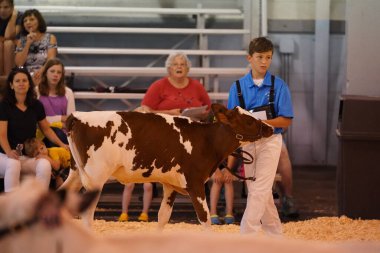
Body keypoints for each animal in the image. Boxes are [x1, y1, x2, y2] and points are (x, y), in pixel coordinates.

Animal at [63, 103, 274, 227]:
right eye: (249, 120)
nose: (270, 128)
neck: (205, 140)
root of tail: (77, 116)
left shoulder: (171, 185)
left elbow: (163, 217)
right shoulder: (196, 184)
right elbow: (205, 219)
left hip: (75, 174)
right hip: (95, 178)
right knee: (87, 214)